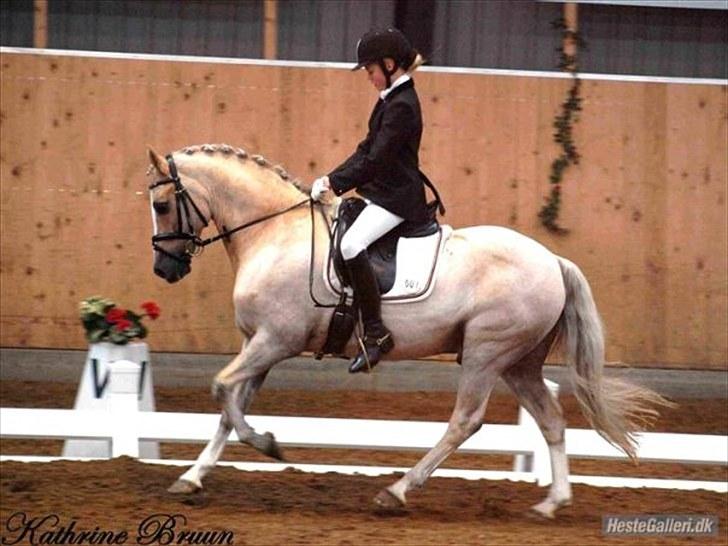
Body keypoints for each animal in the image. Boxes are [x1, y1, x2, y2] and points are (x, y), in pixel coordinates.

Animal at [146, 143, 668, 519]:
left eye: (163, 204)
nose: (164, 270)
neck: (275, 234)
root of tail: (553, 261)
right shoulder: (258, 345)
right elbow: (229, 407)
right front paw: (192, 477)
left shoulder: (275, 341)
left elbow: (221, 390)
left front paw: (267, 444)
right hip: (519, 363)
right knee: (552, 421)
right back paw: (551, 503)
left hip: (486, 353)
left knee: (465, 421)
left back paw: (396, 492)